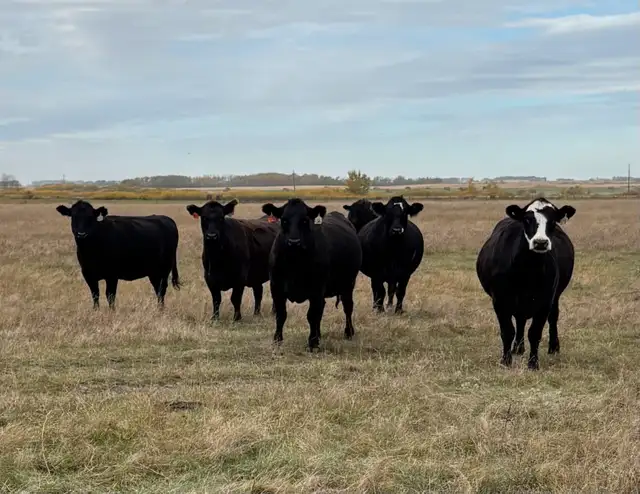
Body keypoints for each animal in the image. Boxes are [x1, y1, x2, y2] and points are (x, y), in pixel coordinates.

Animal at [261, 199, 362, 351]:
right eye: (284, 220)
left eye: (304, 220)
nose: (294, 242)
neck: (294, 263)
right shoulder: (276, 287)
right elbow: (281, 314)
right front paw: (277, 340)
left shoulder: (317, 288)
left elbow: (312, 315)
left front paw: (312, 342)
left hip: (348, 284)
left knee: (347, 307)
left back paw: (348, 332)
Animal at [475, 197, 576, 370]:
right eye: (527, 220)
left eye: (553, 221)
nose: (540, 243)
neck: (527, 270)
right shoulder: (500, 300)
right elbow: (507, 331)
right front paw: (506, 360)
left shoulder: (545, 301)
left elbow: (535, 333)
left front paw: (533, 363)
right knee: (520, 321)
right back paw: (517, 348)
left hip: (555, 296)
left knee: (552, 318)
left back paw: (553, 347)